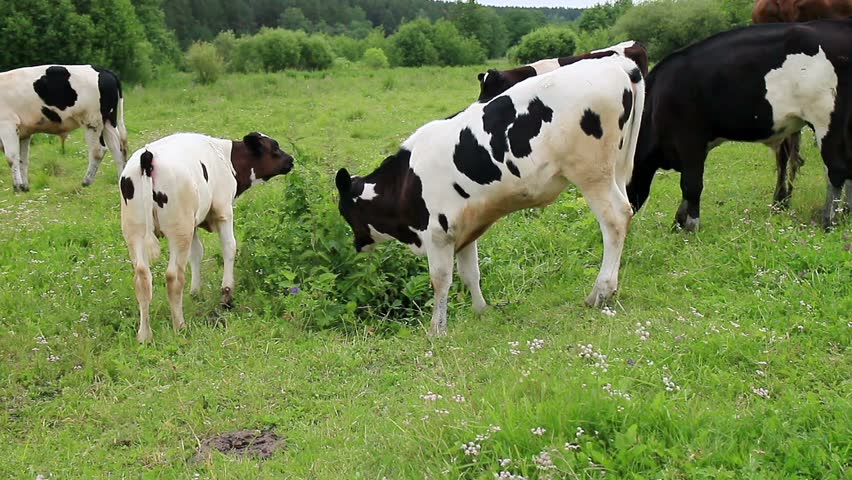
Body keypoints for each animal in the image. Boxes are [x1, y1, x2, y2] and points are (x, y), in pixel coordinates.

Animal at [0, 64, 128, 191]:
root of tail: (103, 70)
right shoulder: (25, 133)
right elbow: (23, 160)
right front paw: (24, 187)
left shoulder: (7, 125)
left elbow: (11, 158)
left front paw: (17, 187)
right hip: (108, 122)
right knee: (118, 150)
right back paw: (120, 180)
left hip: (93, 122)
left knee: (98, 151)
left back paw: (86, 181)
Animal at [118, 131, 294, 342]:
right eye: (274, 147)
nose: (291, 160)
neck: (225, 157)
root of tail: (147, 156)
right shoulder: (223, 211)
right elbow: (230, 247)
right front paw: (227, 295)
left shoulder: (194, 224)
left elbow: (197, 254)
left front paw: (195, 292)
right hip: (179, 229)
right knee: (173, 276)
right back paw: (180, 326)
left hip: (135, 232)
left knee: (142, 277)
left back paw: (144, 335)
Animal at [336, 54, 644, 336]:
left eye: (345, 211)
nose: (356, 244)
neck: (405, 182)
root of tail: (616, 64)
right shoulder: (464, 228)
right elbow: (470, 274)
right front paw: (481, 311)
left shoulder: (437, 233)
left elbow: (440, 280)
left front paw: (436, 330)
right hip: (616, 169)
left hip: (591, 173)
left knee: (615, 219)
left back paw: (600, 292)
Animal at [624, 17, 852, 230]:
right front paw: (678, 222)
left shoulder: (690, 140)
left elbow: (691, 185)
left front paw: (689, 226)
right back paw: (846, 213)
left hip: (825, 118)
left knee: (837, 169)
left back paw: (829, 221)